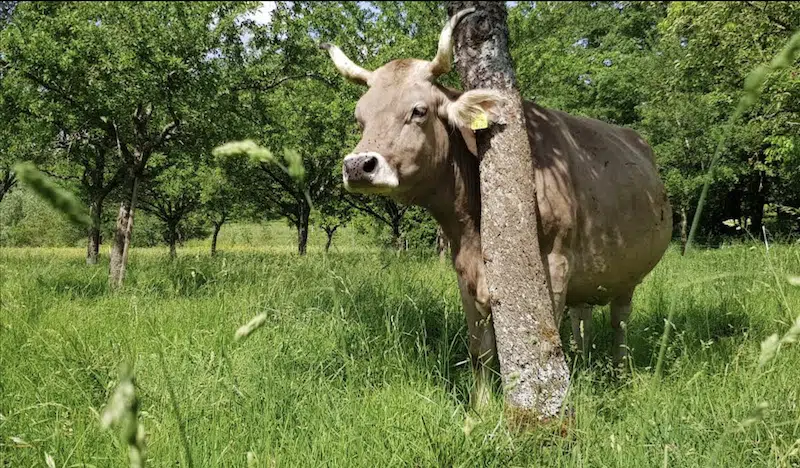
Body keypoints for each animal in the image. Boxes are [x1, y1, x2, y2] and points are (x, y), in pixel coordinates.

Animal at [322, 9, 672, 400]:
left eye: (419, 110)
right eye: (360, 117)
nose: (358, 165)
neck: (474, 226)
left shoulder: (554, 264)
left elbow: (545, 344)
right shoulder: (465, 271)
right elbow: (481, 349)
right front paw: (483, 405)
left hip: (629, 273)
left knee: (619, 323)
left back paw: (621, 377)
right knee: (582, 319)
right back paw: (583, 366)